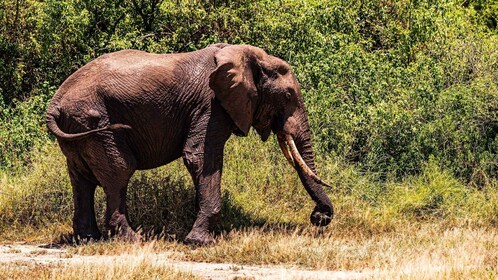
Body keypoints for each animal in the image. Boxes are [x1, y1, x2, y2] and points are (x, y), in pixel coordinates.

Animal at [45, 43, 334, 245]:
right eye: (287, 95)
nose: (318, 217)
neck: (247, 55)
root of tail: (55, 104)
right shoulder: (210, 106)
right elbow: (200, 157)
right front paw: (199, 242)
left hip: (79, 127)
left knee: (81, 179)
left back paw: (87, 239)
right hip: (94, 121)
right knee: (119, 171)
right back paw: (133, 239)